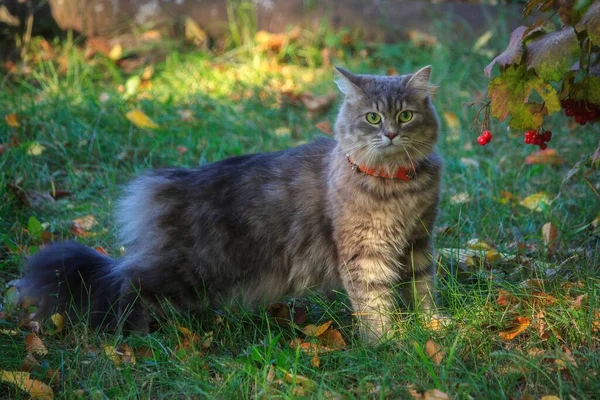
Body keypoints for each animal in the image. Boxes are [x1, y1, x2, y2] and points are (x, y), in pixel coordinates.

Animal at [16, 65, 442, 340]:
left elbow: (421, 290)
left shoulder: (418, 242)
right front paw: (387, 344)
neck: (395, 186)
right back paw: (134, 341)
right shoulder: (364, 253)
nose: (390, 133)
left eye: (406, 115)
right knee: (127, 283)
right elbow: (374, 304)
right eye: (372, 118)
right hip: (189, 269)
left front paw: (432, 326)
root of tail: (170, 185)